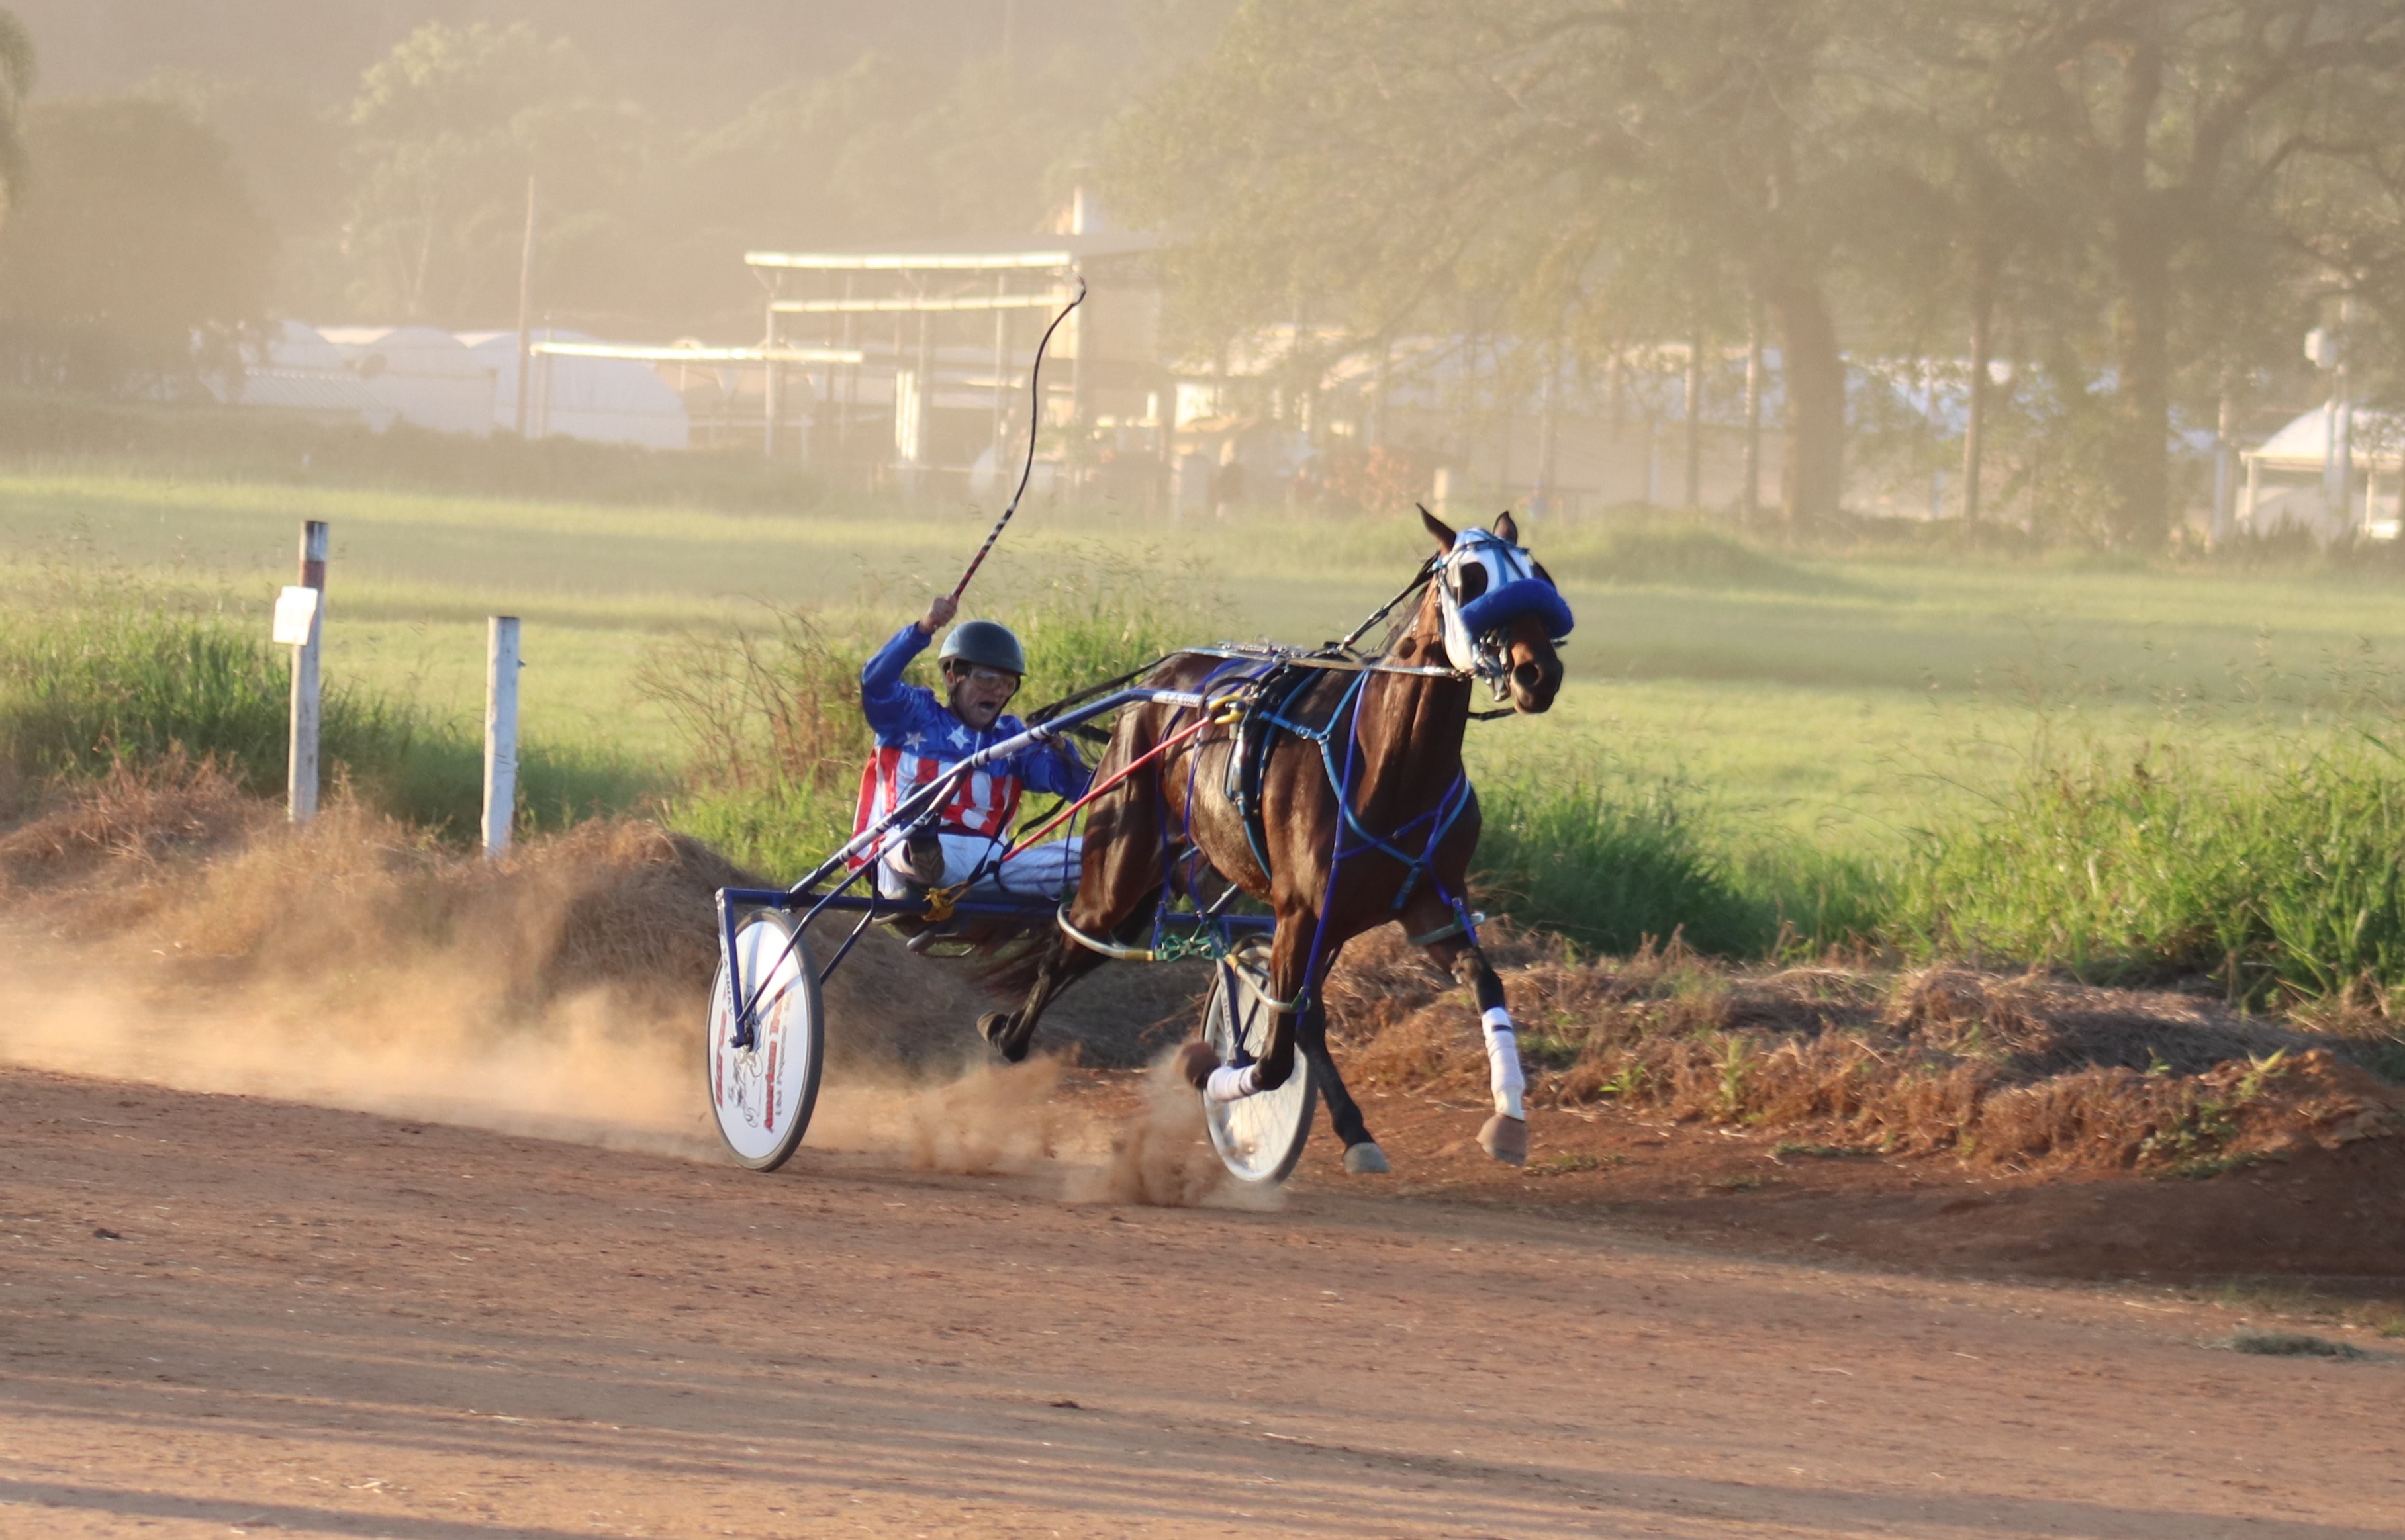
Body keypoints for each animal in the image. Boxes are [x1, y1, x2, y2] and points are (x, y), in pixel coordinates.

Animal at [979, 507, 1571, 1170]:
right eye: (1471, 581)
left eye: (1538, 577)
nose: (1538, 672)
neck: (1388, 766)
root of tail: (1161, 676)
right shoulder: (1302, 910)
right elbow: (1272, 1058)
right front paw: (1210, 1073)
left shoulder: (1429, 907)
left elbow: (1485, 982)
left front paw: (1508, 1118)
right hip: (1120, 865)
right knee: (1068, 945)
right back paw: (1007, 1034)